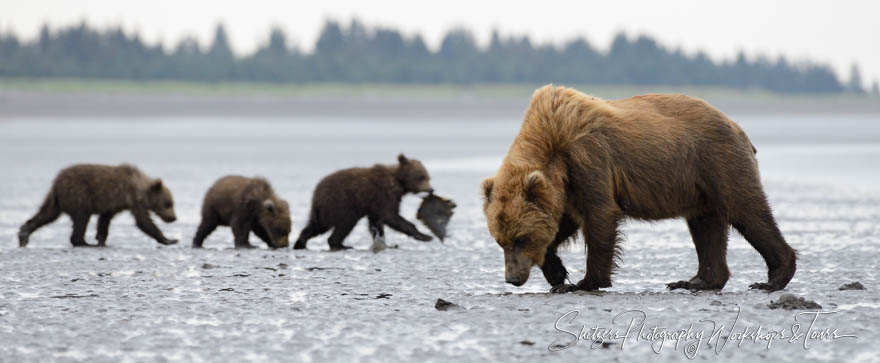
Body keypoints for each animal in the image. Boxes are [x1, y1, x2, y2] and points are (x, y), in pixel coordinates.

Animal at [482, 85, 796, 292]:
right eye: (501, 241)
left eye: (521, 238)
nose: (513, 278)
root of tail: (737, 125)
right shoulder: (566, 187)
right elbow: (563, 222)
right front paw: (557, 274)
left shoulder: (588, 158)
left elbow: (599, 216)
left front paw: (583, 282)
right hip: (699, 186)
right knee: (706, 225)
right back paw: (695, 281)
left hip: (718, 160)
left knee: (747, 210)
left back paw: (772, 278)